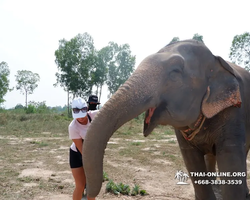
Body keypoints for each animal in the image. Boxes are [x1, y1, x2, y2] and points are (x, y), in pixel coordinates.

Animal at [82, 39, 250, 200]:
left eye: (175, 72)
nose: (88, 193)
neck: (216, 61)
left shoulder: (234, 112)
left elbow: (230, 158)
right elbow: (192, 161)